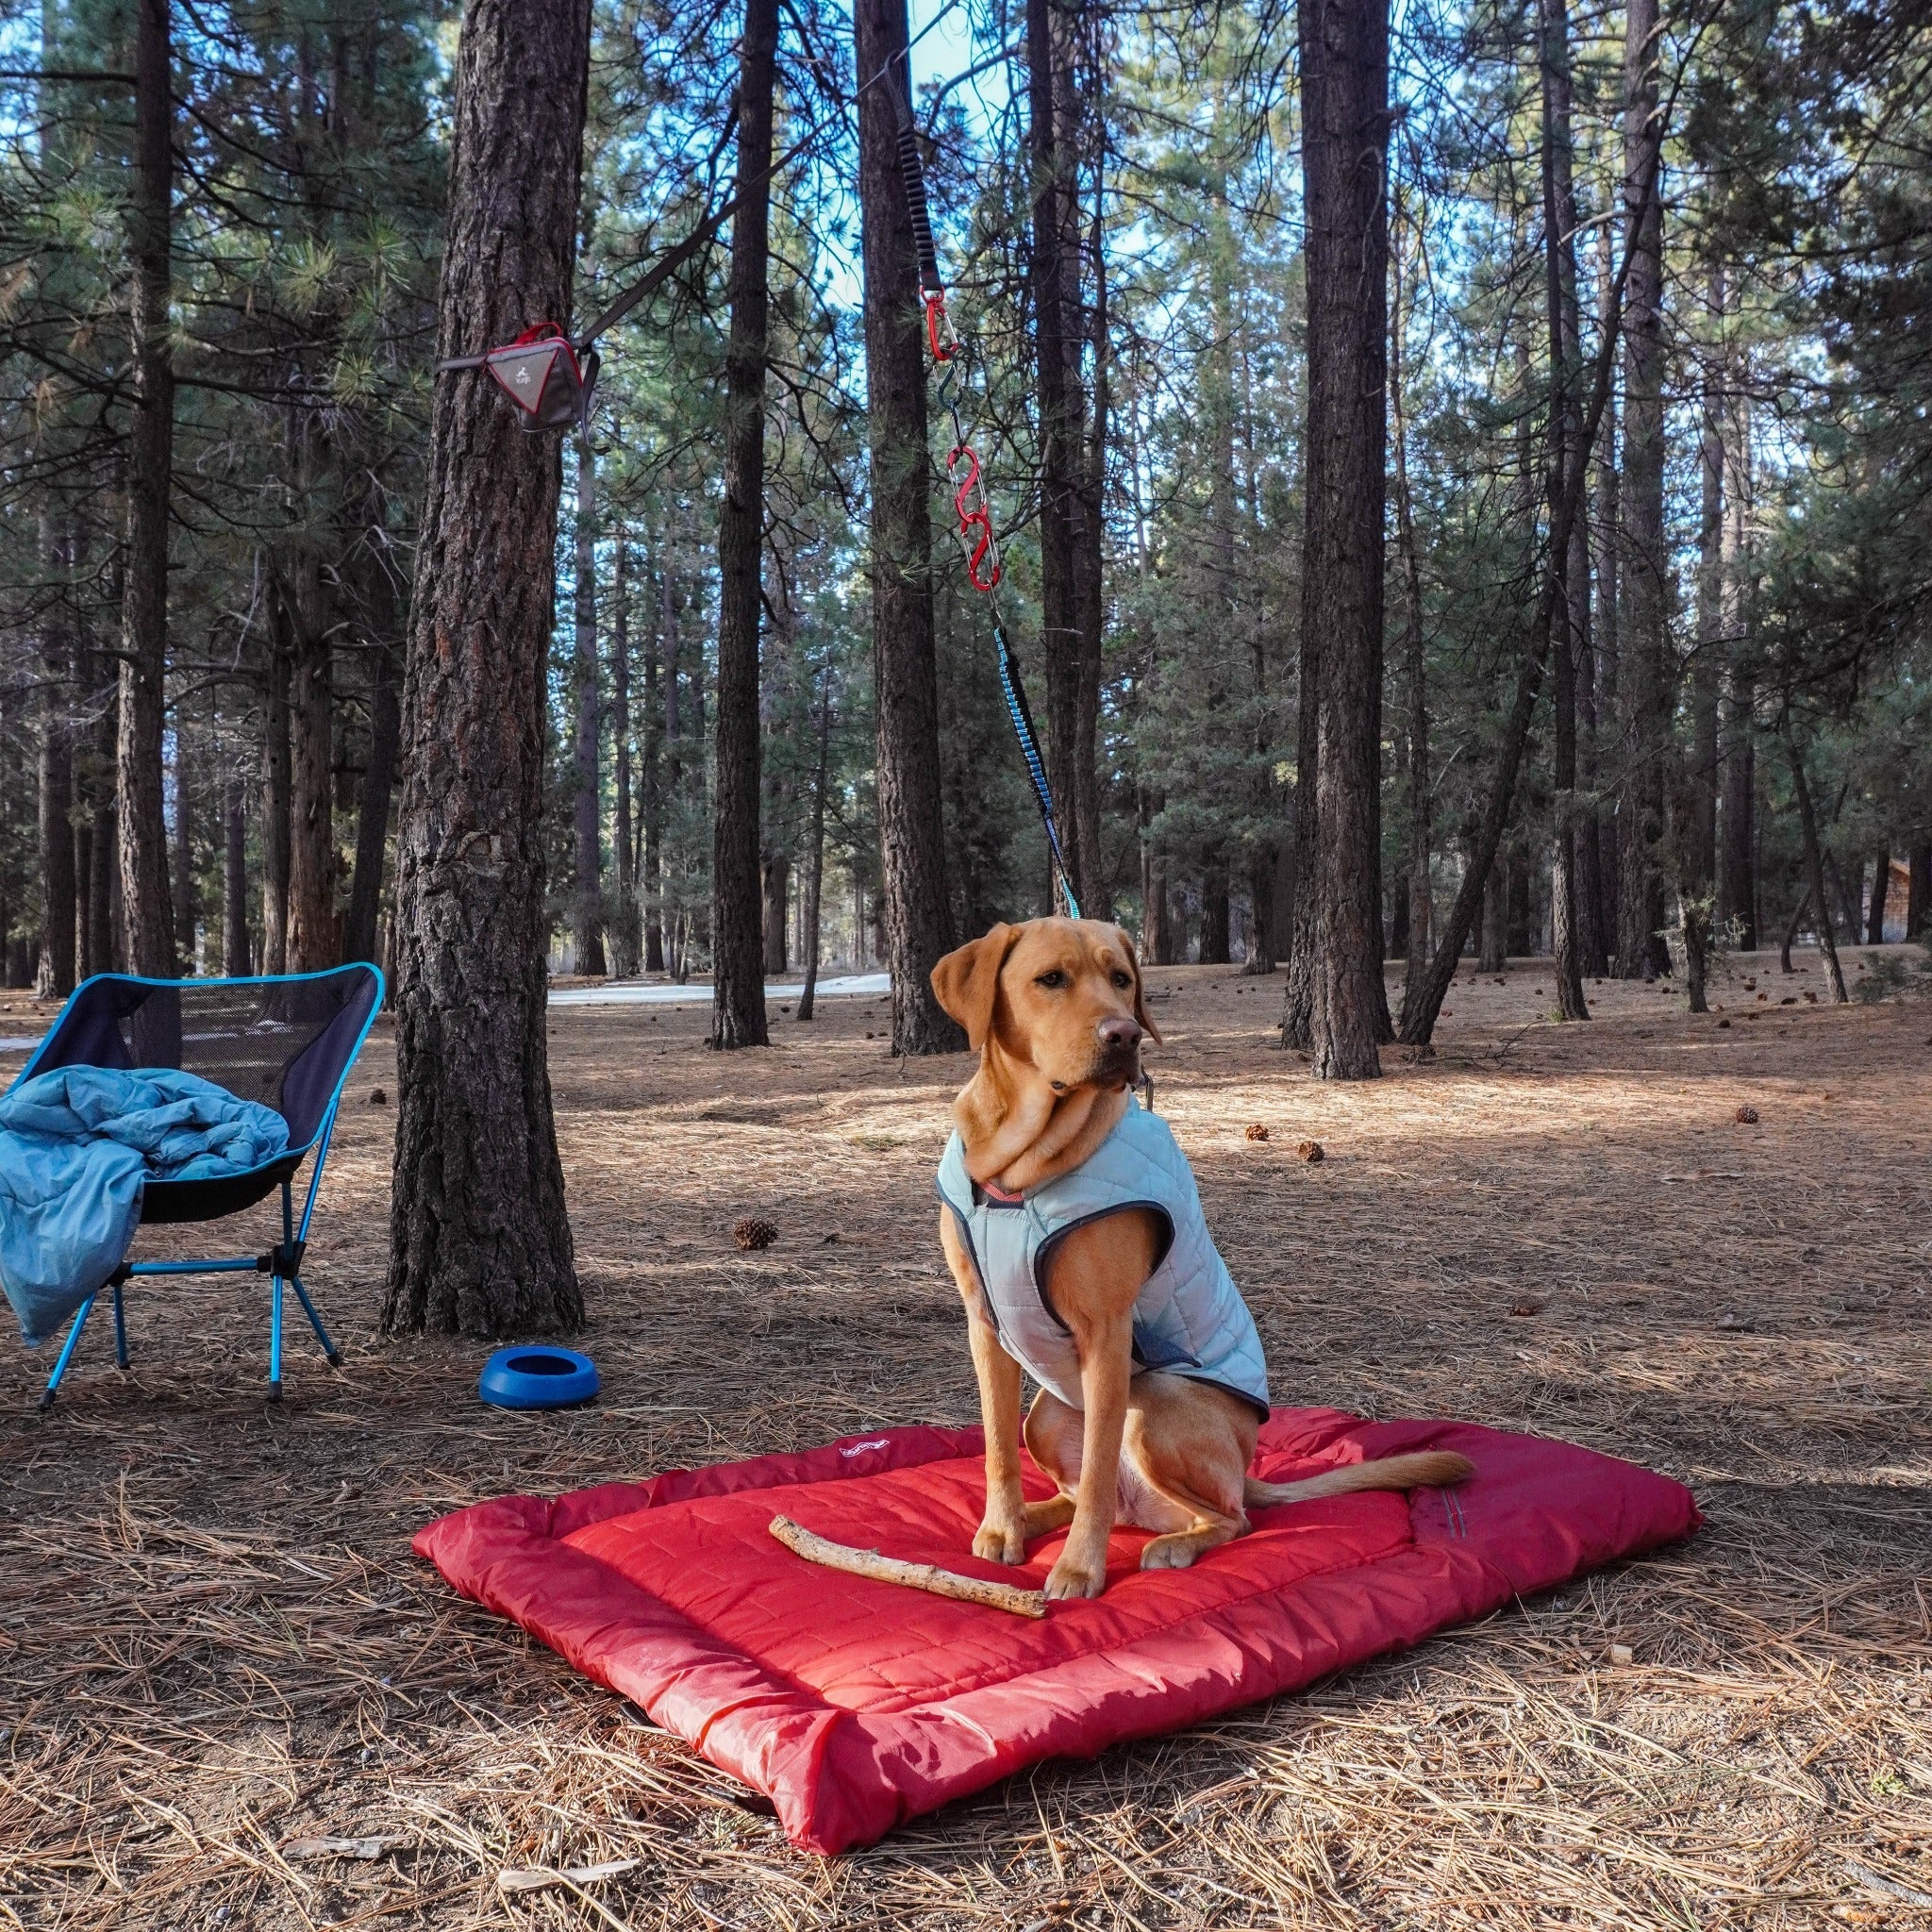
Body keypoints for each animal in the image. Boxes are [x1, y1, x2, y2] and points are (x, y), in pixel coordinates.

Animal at [931, 915, 1460, 1599]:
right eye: (1050, 979)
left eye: (1122, 980)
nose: (1125, 1035)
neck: (1020, 1175)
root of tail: (1244, 1467)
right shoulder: (985, 1325)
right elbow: (997, 1448)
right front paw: (1002, 1528)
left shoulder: (1107, 1332)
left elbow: (1098, 1469)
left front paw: (1079, 1567)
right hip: (1046, 1417)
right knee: (1093, 1492)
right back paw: (1033, 1517)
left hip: (1154, 1407)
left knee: (1224, 1517)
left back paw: (1173, 1544)